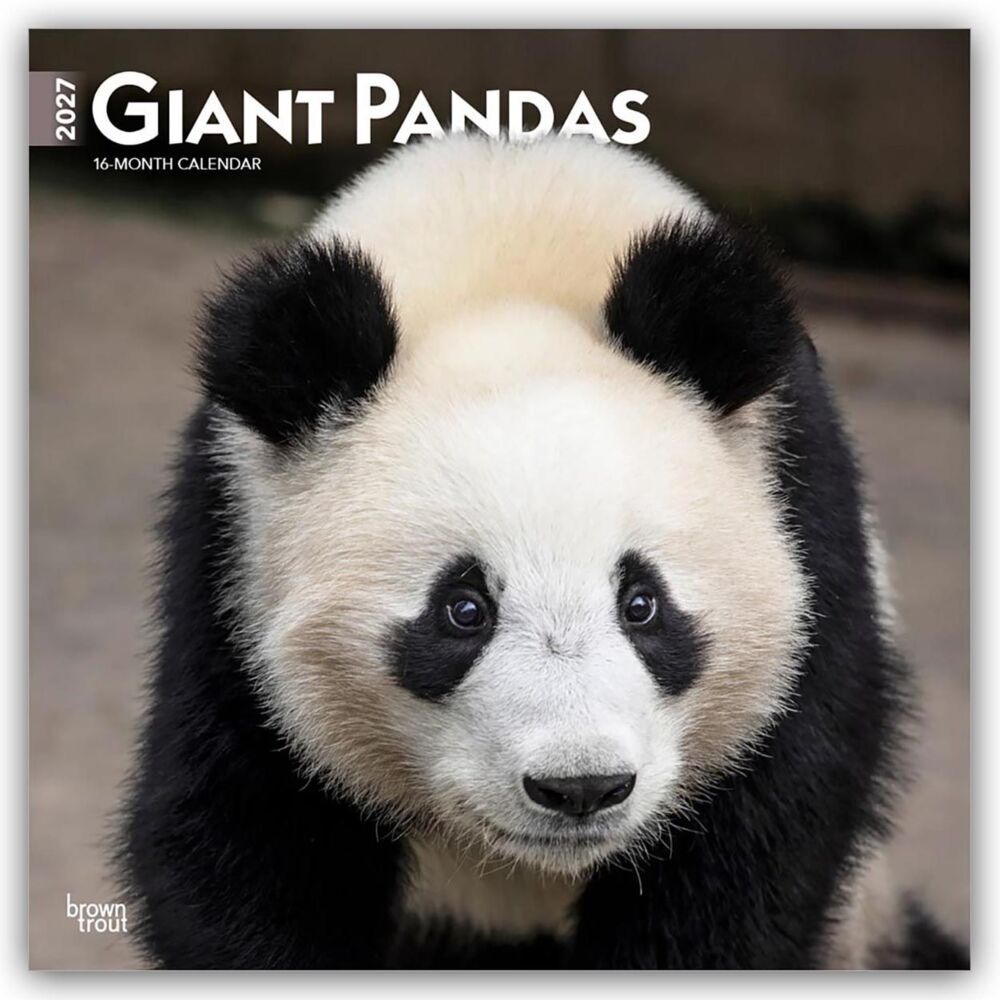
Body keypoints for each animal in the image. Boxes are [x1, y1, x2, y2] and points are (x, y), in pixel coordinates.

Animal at [118, 134, 968, 970]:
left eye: (642, 603)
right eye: (462, 610)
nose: (581, 787)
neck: (507, 246)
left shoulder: (805, 520)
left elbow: (756, 846)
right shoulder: (232, 558)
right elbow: (235, 834)